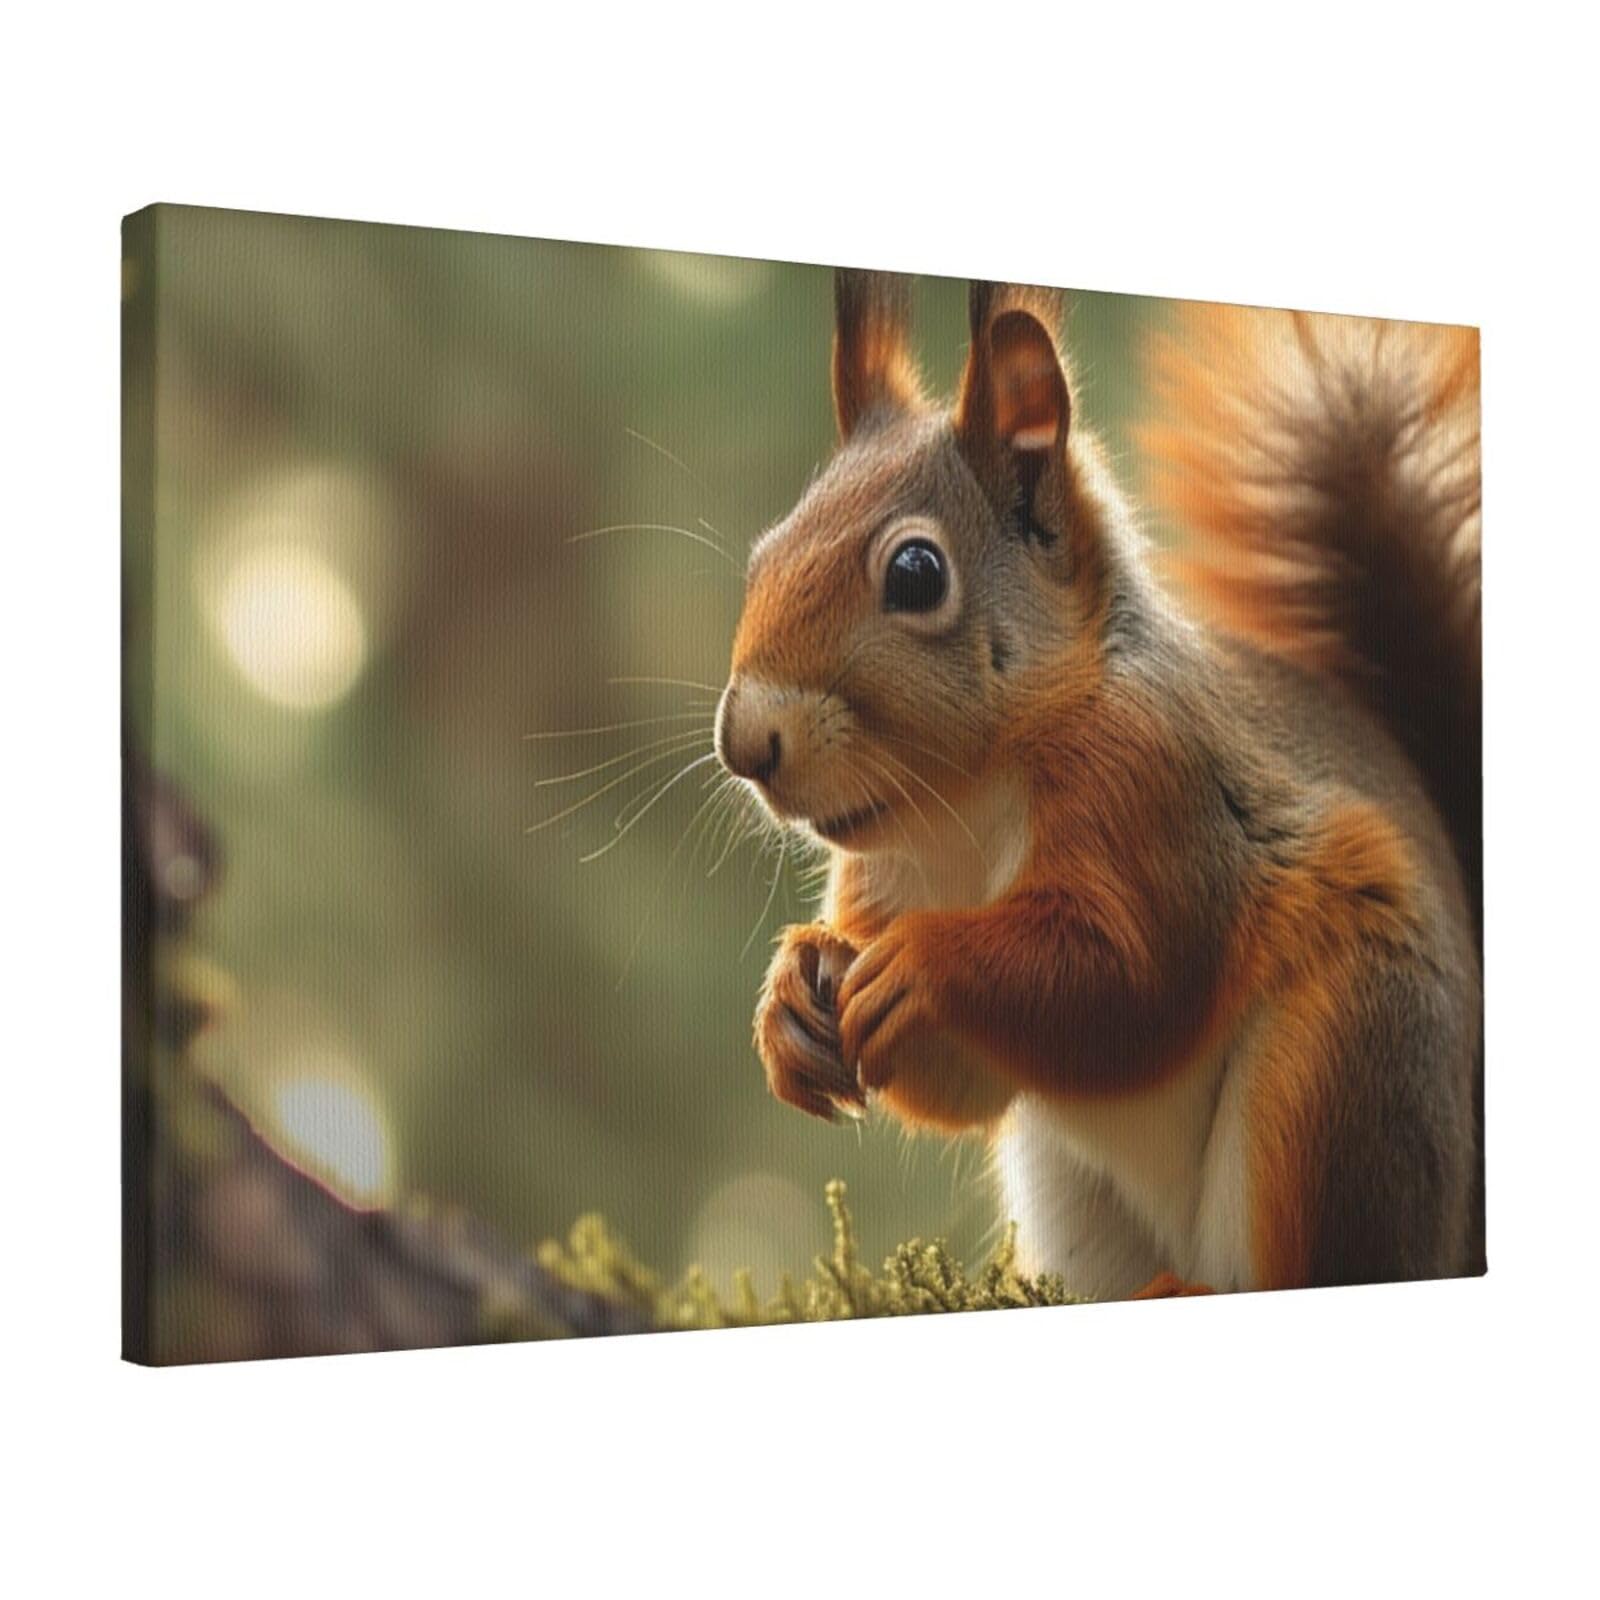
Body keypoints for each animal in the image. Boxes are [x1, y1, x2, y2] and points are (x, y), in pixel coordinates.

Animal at [713, 270, 1482, 1298]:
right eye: (764, 556)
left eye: (915, 572)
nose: (744, 743)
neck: (966, 805)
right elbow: (966, 1084)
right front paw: (794, 995)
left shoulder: (1157, 786)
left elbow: (1125, 977)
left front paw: (924, 963)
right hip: (1069, 1182)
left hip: (1338, 1068)